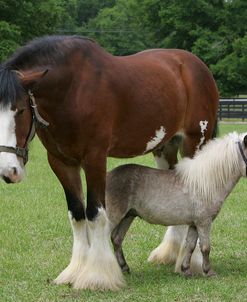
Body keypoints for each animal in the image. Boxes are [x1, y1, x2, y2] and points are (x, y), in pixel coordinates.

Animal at [0, 35, 218, 290]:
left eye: (20, 110)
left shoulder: (95, 158)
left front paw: (97, 275)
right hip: (165, 147)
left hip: (195, 142)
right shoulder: (61, 162)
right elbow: (77, 214)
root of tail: (196, 66)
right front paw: (75, 271)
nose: (8, 171)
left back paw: (192, 261)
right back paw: (171, 254)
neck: (72, 90)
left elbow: (95, 214)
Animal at [105, 132, 247, 276]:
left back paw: (124, 268)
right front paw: (209, 272)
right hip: (114, 217)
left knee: (117, 239)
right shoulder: (204, 222)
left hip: (128, 216)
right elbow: (205, 247)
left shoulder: (194, 223)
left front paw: (186, 270)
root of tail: (108, 175)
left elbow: (190, 246)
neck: (205, 182)